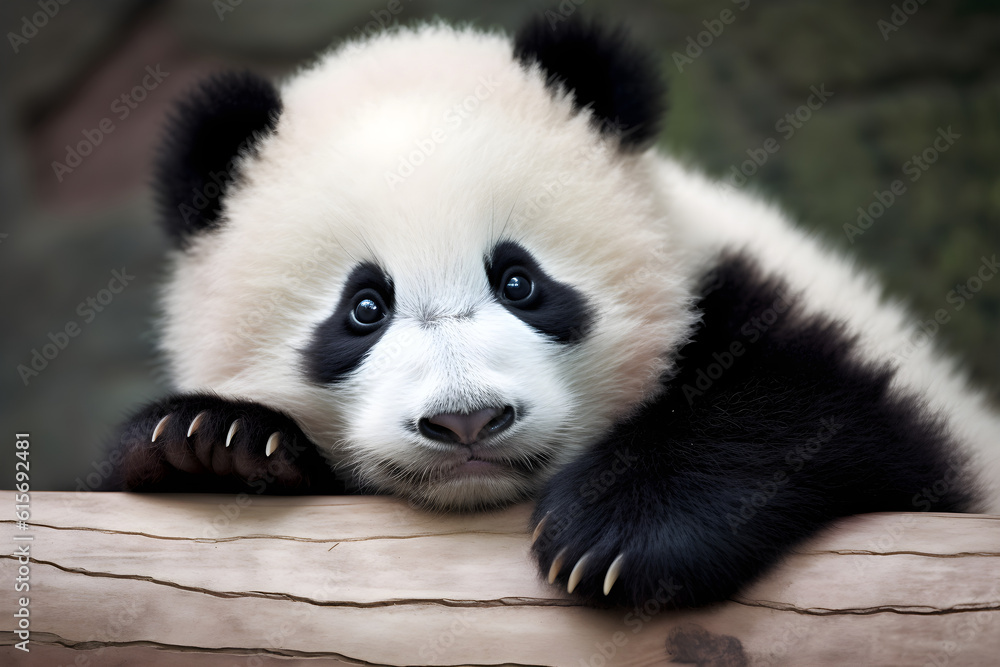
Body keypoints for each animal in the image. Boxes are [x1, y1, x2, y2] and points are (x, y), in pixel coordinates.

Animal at [106, 16, 1000, 609]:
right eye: (363, 308)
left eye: (518, 282)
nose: (466, 420)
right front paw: (213, 441)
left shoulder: (752, 299)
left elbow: (827, 417)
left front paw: (617, 533)